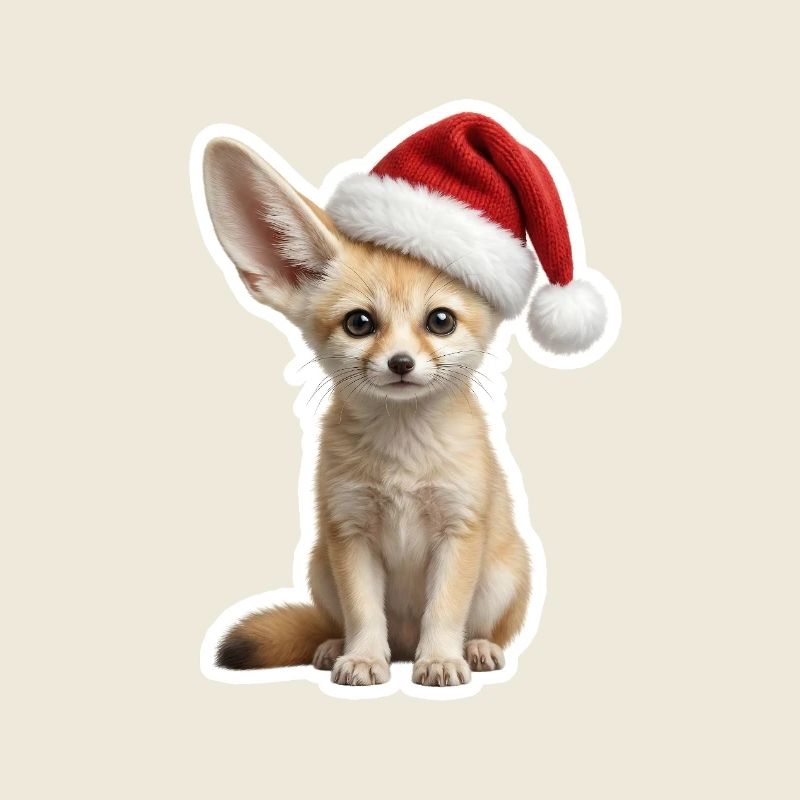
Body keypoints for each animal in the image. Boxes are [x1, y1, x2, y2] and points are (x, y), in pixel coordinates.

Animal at [202, 138, 532, 687]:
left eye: (440, 321)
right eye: (359, 323)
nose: (400, 363)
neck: (403, 460)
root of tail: (405, 644)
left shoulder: (459, 528)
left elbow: (445, 609)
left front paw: (441, 659)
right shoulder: (349, 531)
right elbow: (363, 611)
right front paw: (362, 658)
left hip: (503, 576)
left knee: (489, 628)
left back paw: (476, 648)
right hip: (320, 568)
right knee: (346, 623)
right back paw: (338, 646)